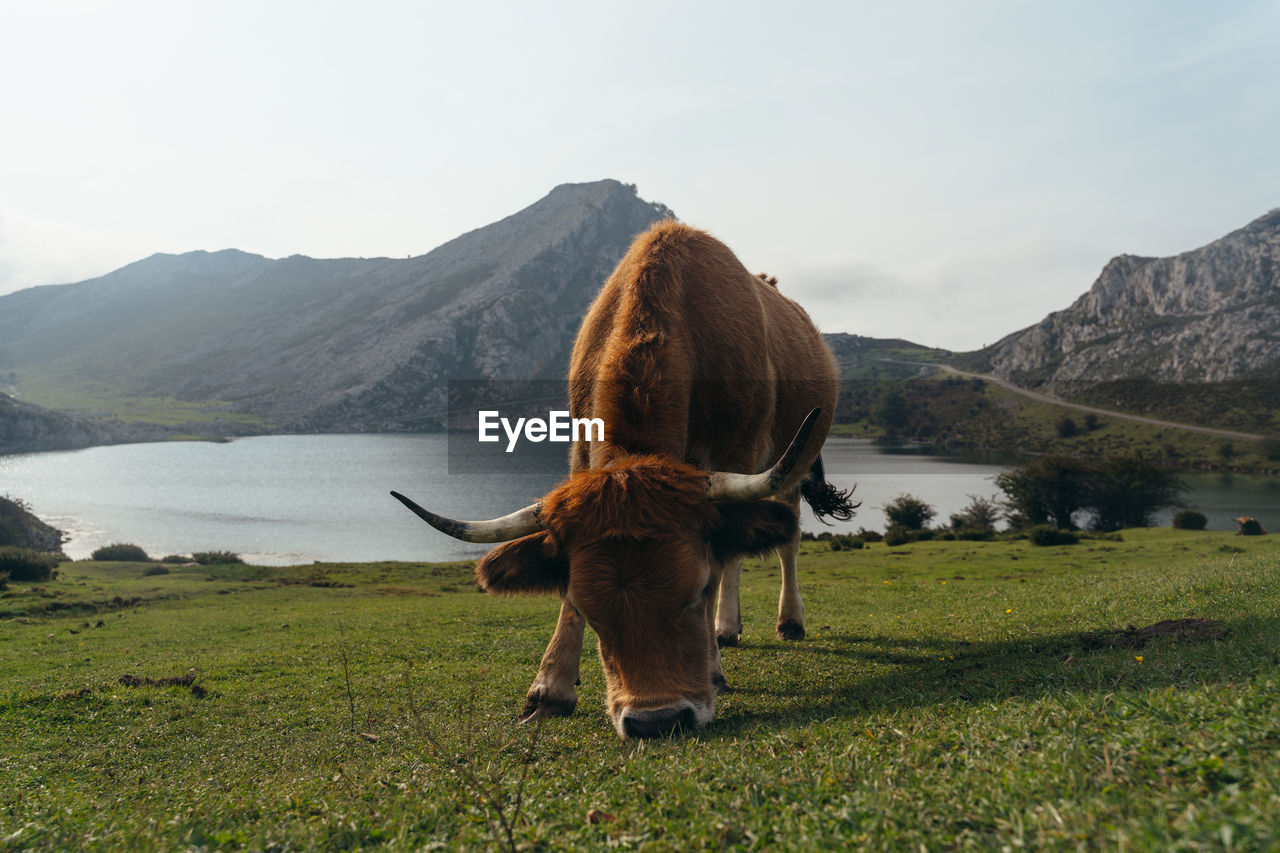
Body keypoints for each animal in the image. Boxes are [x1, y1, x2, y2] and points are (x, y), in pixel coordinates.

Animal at [394, 222, 855, 732]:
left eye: (695, 592)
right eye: (590, 608)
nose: (657, 720)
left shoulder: (738, 451)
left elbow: (722, 561)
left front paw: (712, 669)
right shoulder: (580, 452)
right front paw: (549, 688)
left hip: (792, 464)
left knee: (783, 541)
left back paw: (786, 622)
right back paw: (727, 629)